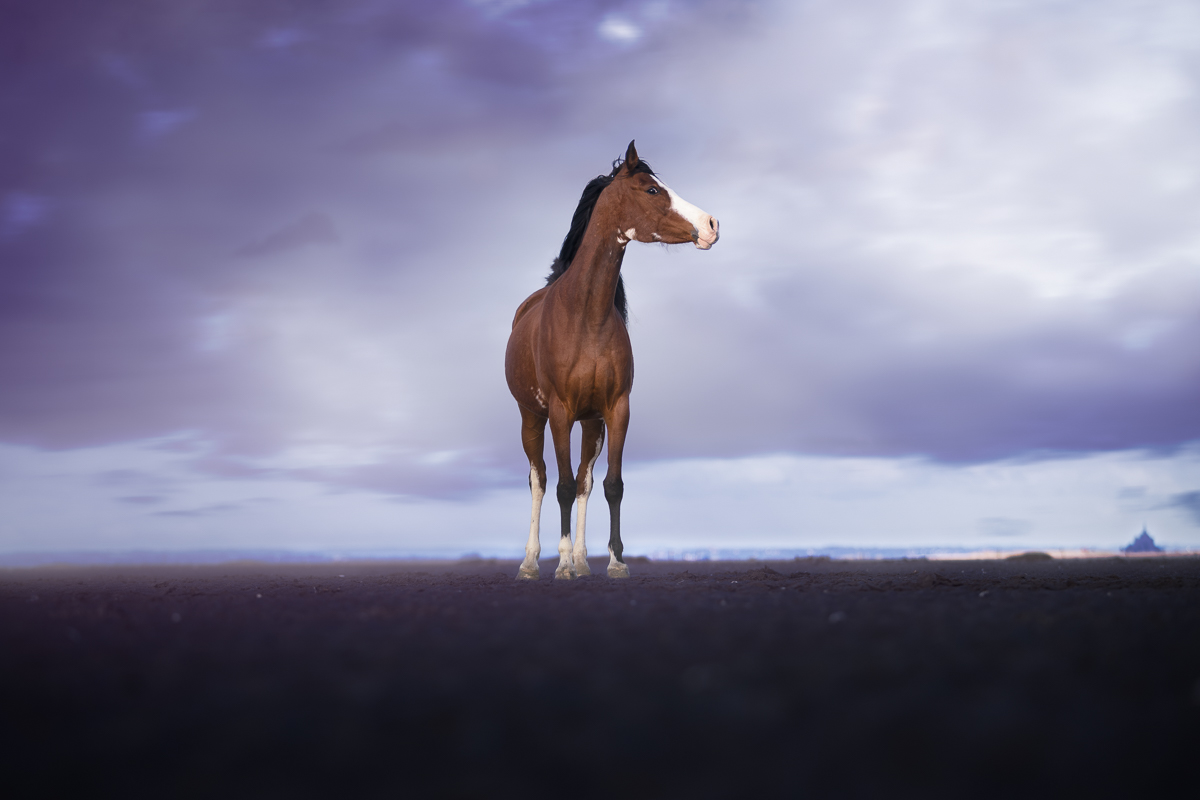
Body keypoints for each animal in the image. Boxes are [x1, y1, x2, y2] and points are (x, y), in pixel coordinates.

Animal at [504, 141, 719, 580]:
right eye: (652, 190)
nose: (711, 224)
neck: (585, 316)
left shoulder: (617, 409)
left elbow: (610, 485)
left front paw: (615, 562)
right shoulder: (559, 412)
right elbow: (562, 487)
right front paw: (561, 565)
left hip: (591, 424)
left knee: (585, 481)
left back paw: (583, 560)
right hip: (531, 418)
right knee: (539, 480)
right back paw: (531, 562)